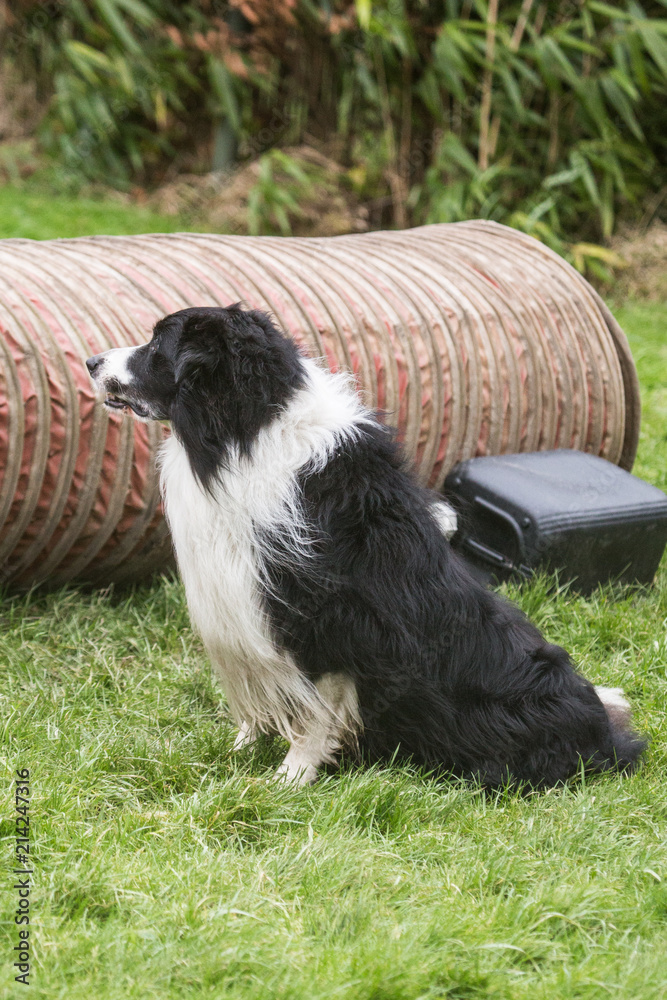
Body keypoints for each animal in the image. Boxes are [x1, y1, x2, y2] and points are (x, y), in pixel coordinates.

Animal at [87, 304, 648, 788]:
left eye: (157, 344)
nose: (91, 361)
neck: (245, 431)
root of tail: (603, 735)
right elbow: (264, 700)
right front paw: (238, 751)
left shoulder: (333, 615)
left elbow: (316, 708)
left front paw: (289, 779)